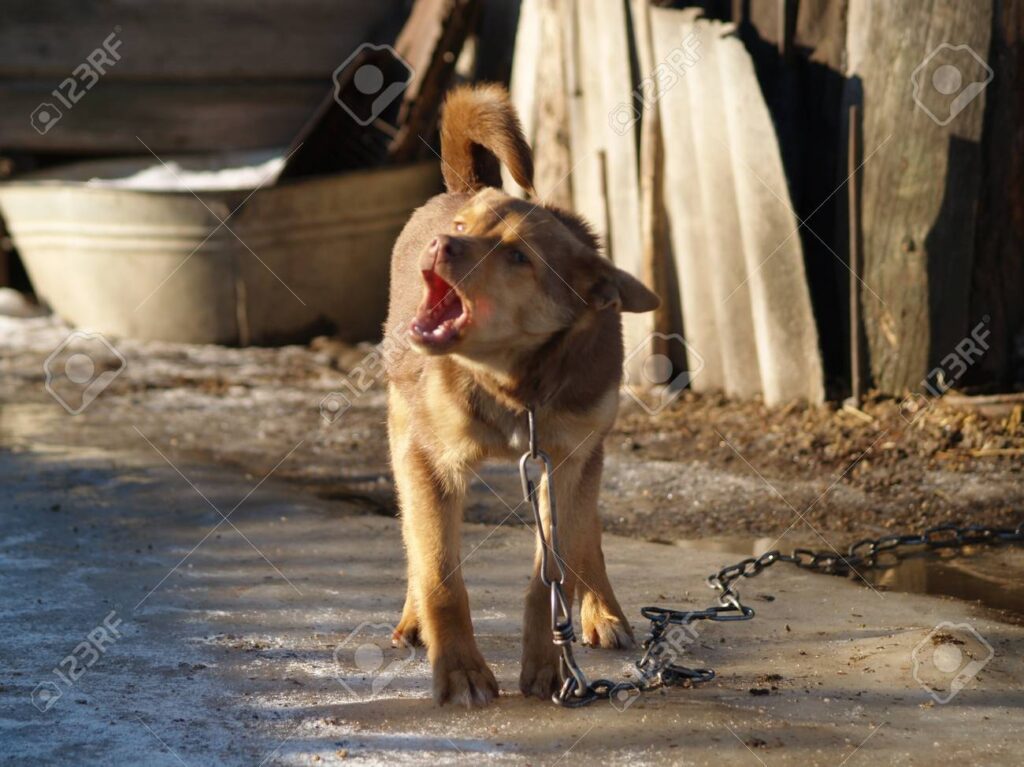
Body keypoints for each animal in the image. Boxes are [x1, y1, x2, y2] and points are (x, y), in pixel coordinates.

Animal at [382, 83, 655, 704]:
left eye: (516, 256)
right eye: (464, 229)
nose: (442, 244)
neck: (513, 386)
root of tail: (458, 185)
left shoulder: (565, 460)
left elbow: (552, 572)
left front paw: (549, 665)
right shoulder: (428, 461)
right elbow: (438, 573)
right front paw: (459, 672)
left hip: (588, 456)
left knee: (586, 533)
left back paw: (602, 611)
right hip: (402, 430)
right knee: (413, 538)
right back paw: (412, 621)